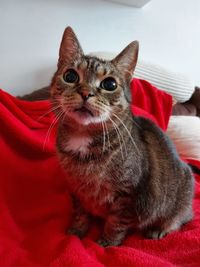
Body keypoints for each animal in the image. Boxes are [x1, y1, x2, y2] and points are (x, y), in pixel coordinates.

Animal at [49, 26, 194, 247]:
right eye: (70, 76)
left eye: (109, 84)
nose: (86, 92)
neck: (83, 137)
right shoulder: (77, 190)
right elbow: (80, 214)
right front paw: (77, 231)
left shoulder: (128, 195)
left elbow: (116, 223)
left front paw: (107, 243)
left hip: (182, 193)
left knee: (179, 219)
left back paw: (159, 229)